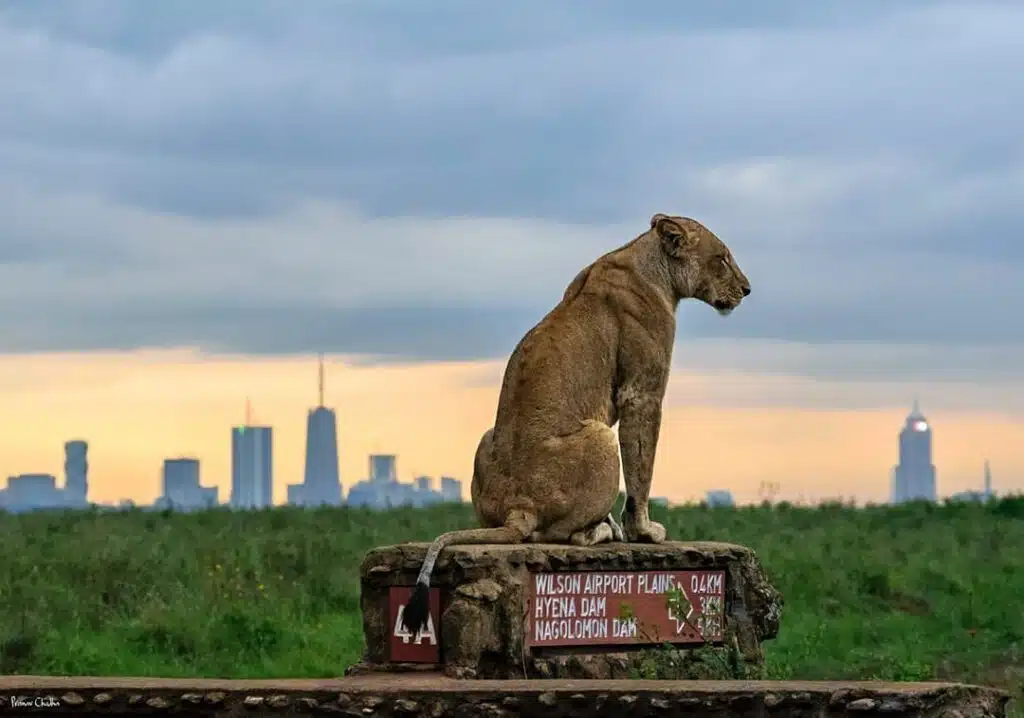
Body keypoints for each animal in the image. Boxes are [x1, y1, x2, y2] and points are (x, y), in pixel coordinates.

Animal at [400, 213, 751, 637]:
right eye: (722, 258)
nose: (747, 290)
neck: (651, 265)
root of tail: (519, 507)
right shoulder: (642, 393)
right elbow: (641, 470)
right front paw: (643, 532)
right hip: (599, 437)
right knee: (564, 535)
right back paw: (605, 530)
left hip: (487, 440)